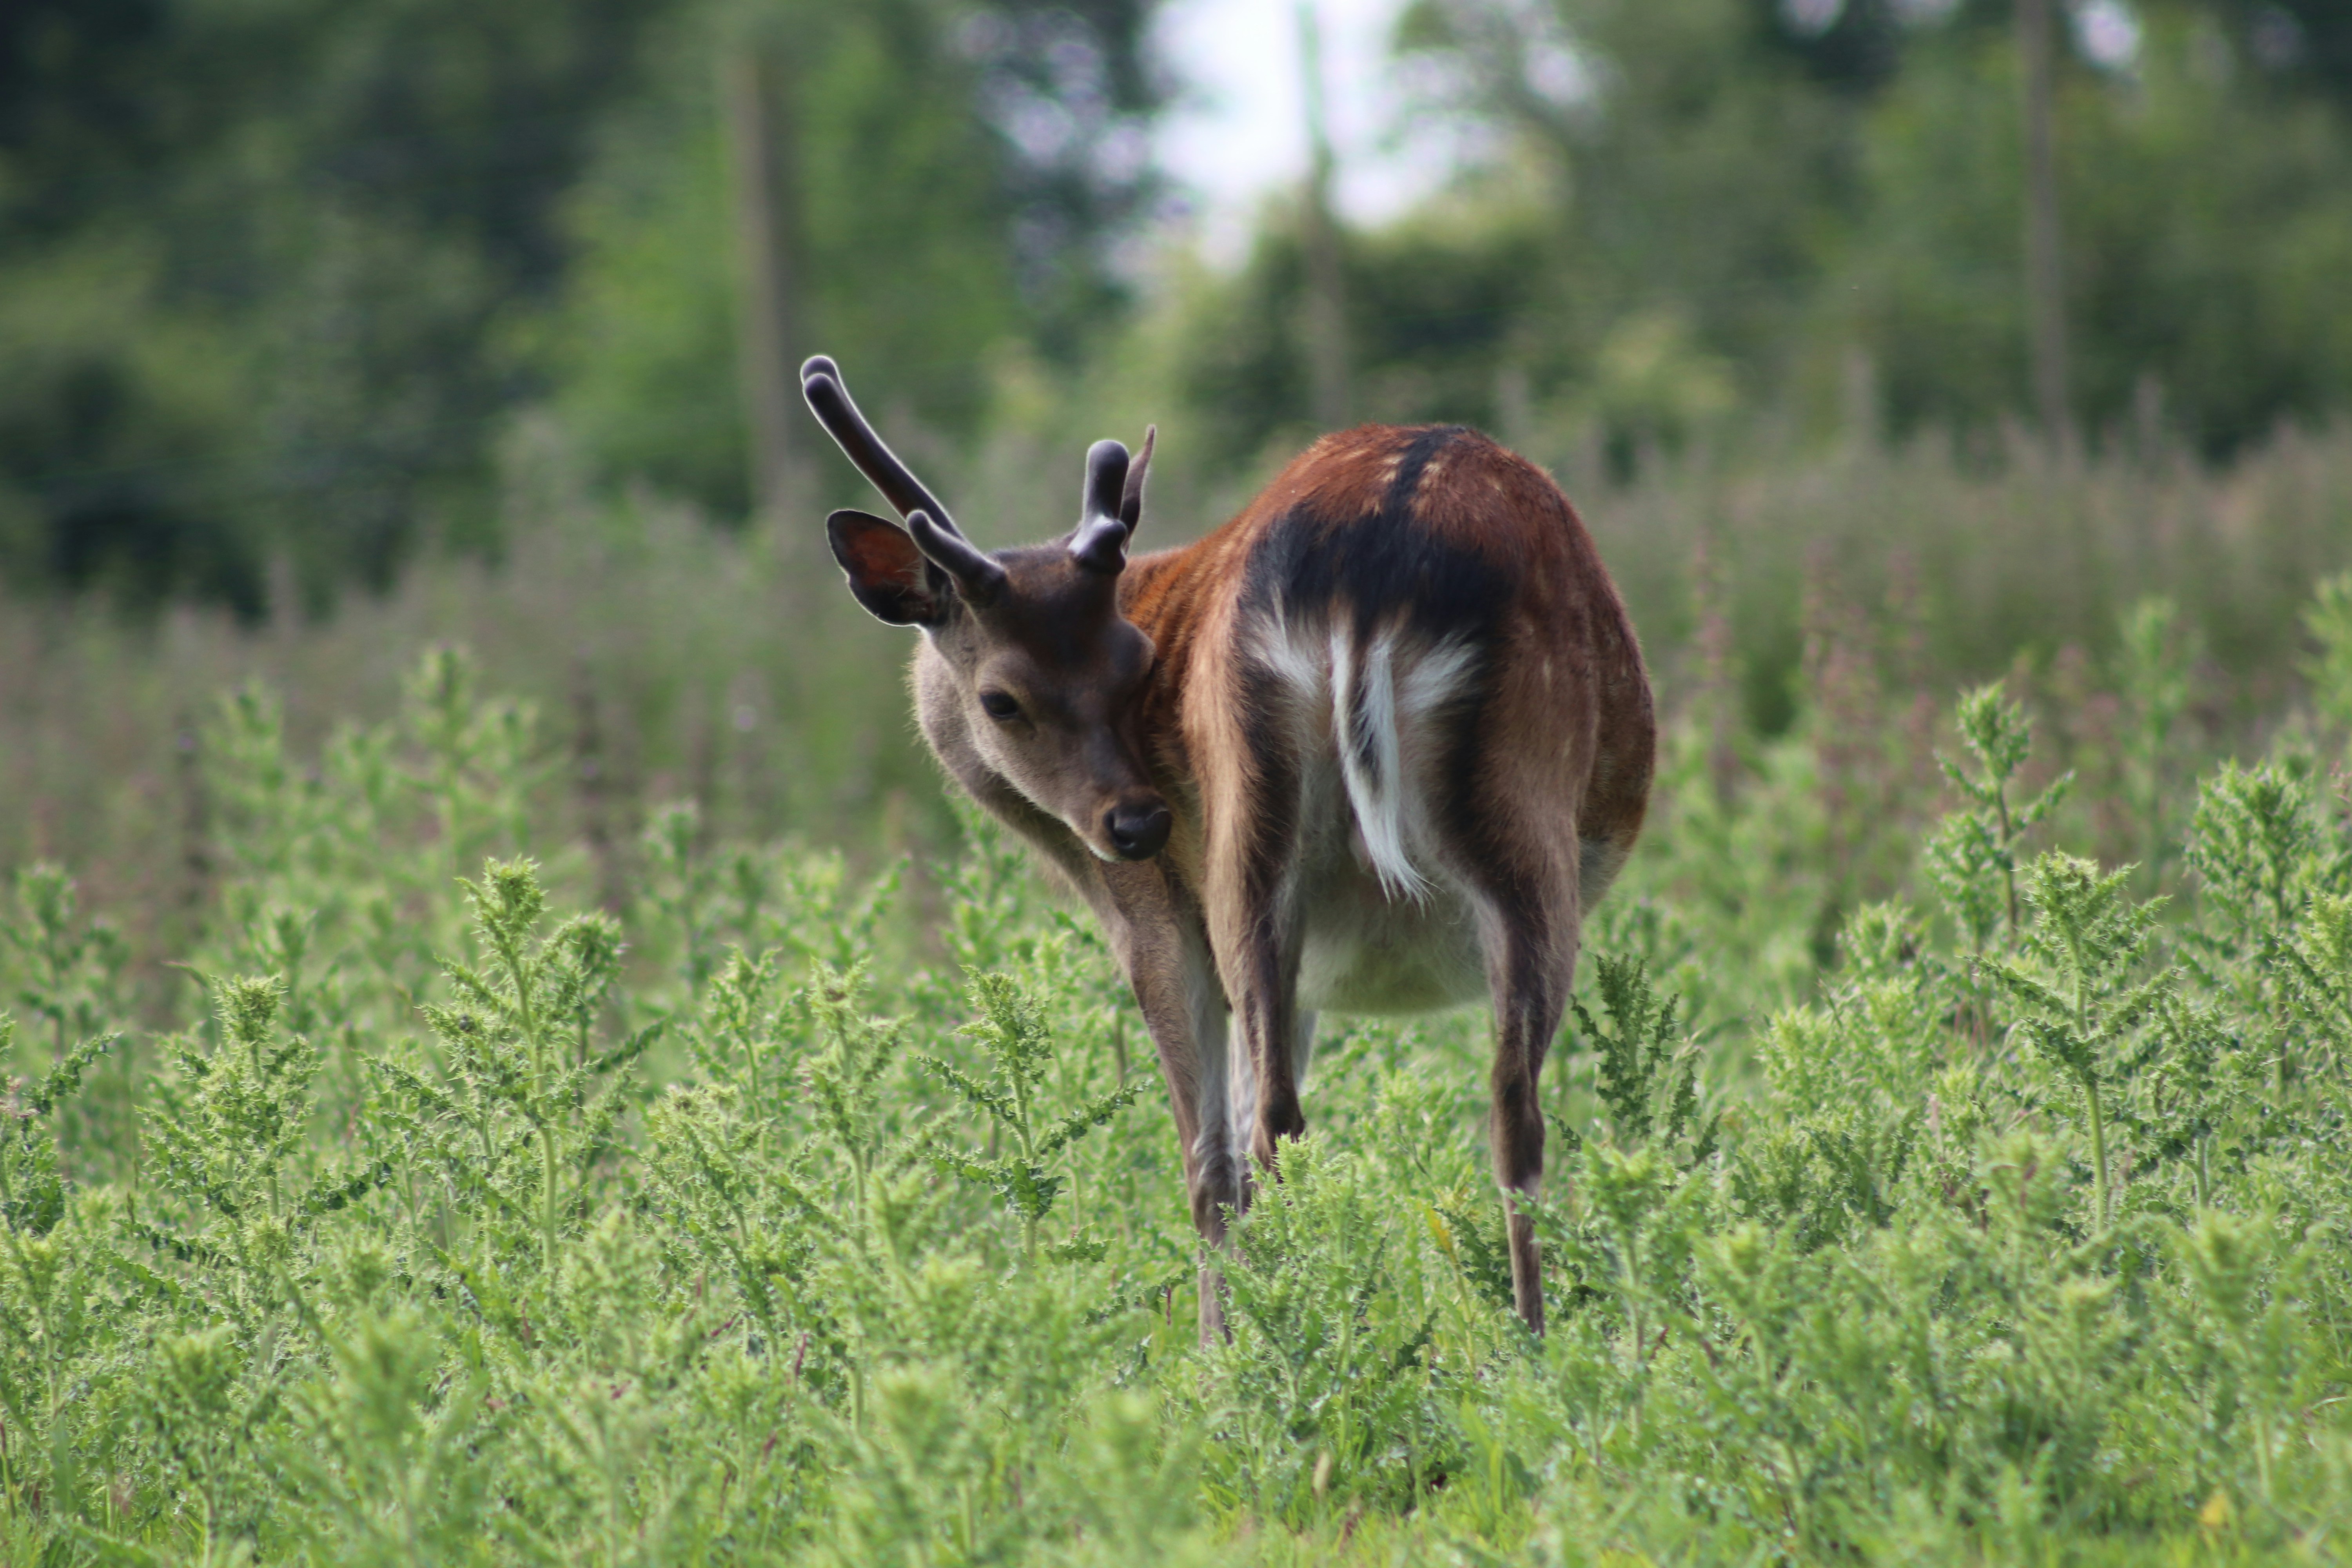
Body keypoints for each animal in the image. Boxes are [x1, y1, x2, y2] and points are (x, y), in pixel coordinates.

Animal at [799, 354, 1655, 1339]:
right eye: (1002, 698)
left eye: (1135, 663)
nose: (1138, 824)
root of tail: (1382, 552)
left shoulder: (1154, 920)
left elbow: (1205, 1159)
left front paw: (1216, 1351)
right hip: (1366, 844)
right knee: (1451, 1108)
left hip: (1382, 819)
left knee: (1286, 1132)